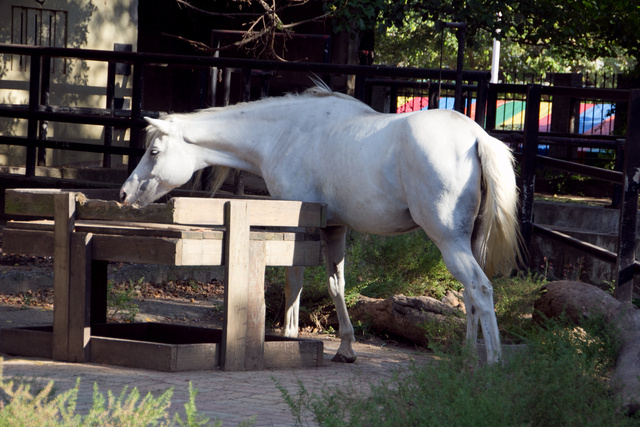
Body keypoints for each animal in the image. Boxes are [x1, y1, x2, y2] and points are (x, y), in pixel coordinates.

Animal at [121, 86, 524, 364]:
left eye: (154, 152)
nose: (125, 193)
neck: (287, 134)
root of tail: (476, 137)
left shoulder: (295, 227)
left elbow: (293, 279)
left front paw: (287, 337)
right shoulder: (334, 230)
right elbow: (336, 285)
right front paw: (345, 348)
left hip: (448, 241)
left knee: (480, 290)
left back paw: (492, 365)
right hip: (464, 243)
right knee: (470, 296)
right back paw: (467, 358)